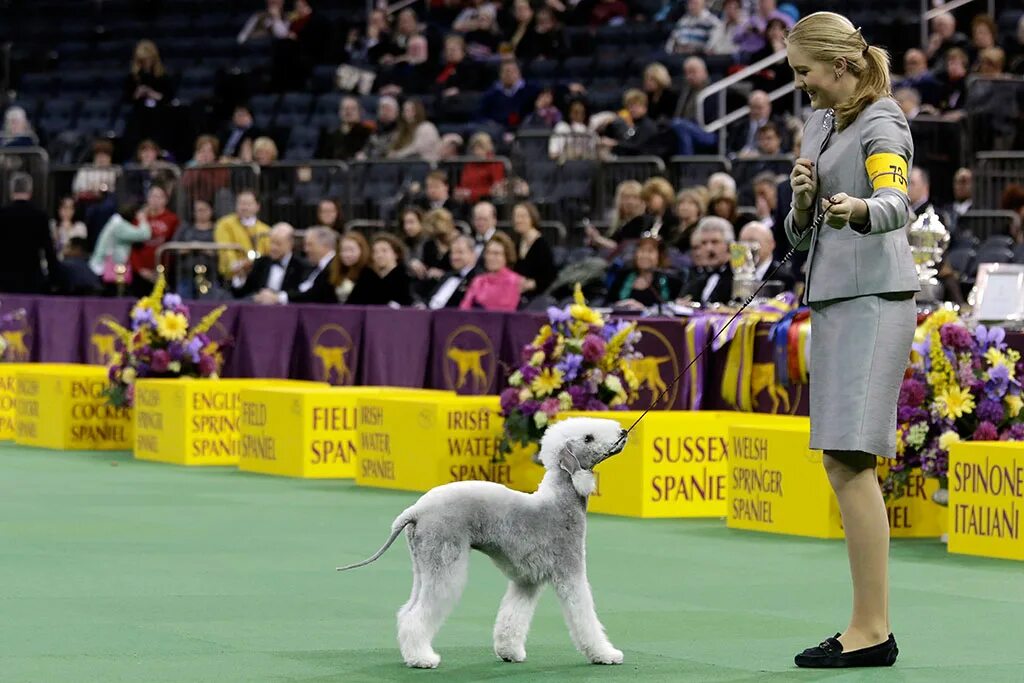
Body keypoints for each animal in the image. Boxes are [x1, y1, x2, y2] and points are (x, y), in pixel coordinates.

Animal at [339, 417, 626, 667]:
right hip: (443, 560)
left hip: (422, 566)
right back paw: (422, 658)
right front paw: (605, 654)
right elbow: (584, 615)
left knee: (407, 611)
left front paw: (509, 652)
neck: (558, 500)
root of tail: (415, 511)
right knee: (418, 615)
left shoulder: (527, 580)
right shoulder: (570, 570)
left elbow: (513, 616)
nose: (623, 432)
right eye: (588, 438)